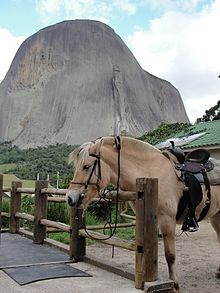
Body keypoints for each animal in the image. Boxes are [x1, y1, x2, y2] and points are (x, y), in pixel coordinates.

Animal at [66, 136, 220, 290]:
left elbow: (170, 255)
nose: (70, 198)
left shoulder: (167, 220)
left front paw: (175, 284)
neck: (152, 173)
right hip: (216, 217)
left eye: (86, 166)